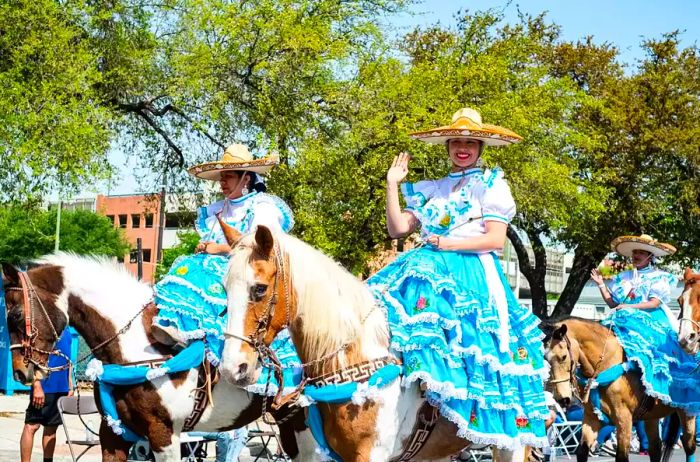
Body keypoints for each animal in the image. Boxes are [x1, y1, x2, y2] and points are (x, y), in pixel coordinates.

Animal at [1, 253, 318, 462]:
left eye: (14, 315)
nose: (20, 372)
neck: (139, 348)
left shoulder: (164, 435)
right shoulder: (112, 433)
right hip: (288, 419)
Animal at [540, 318, 696, 462]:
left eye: (563, 357)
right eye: (545, 358)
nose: (562, 399)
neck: (606, 366)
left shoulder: (624, 420)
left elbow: (621, 456)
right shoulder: (592, 418)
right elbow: (582, 451)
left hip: (687, 412)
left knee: (689, 445)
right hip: (651, 416)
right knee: (655, 448)